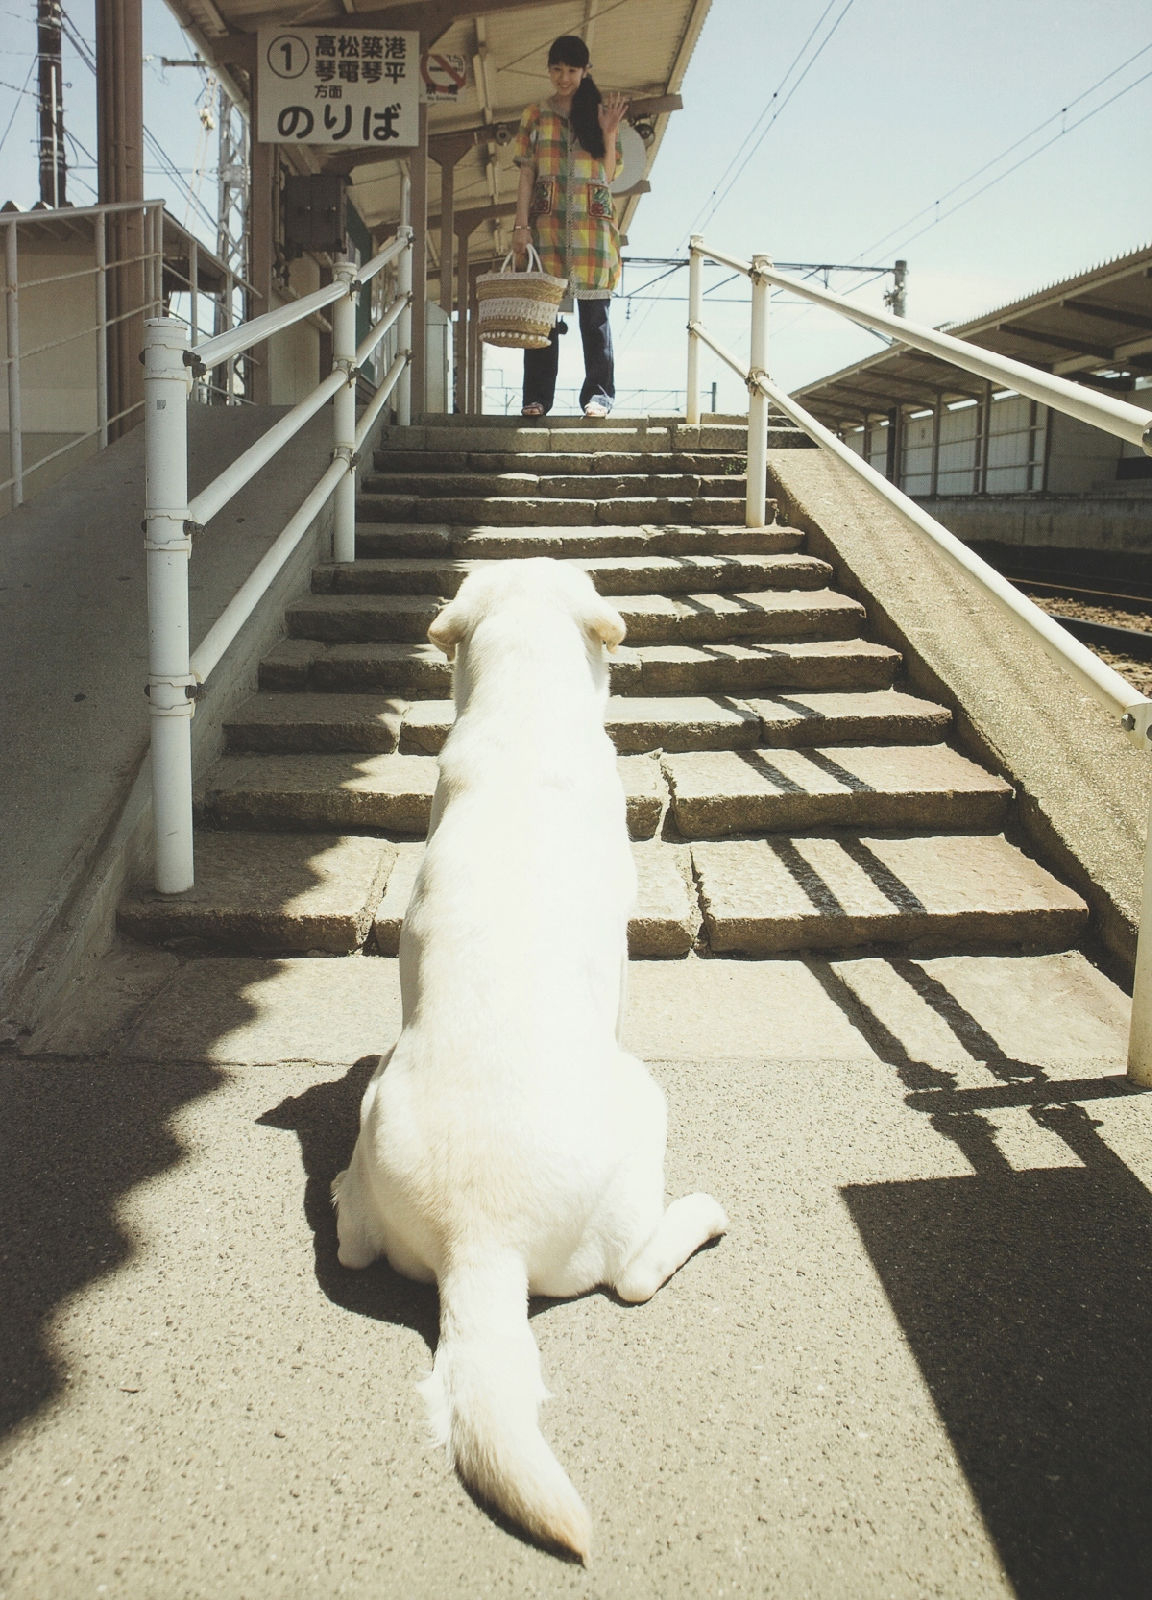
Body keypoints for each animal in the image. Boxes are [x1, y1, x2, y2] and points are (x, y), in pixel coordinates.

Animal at [332, 556, 723, 1555]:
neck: (523, 707)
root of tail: (481, 1243)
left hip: (377, 1107)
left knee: (350, 1241)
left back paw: (340, 1192)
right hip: (643, 1106)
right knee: (632, 1279)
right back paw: (701, 1216)